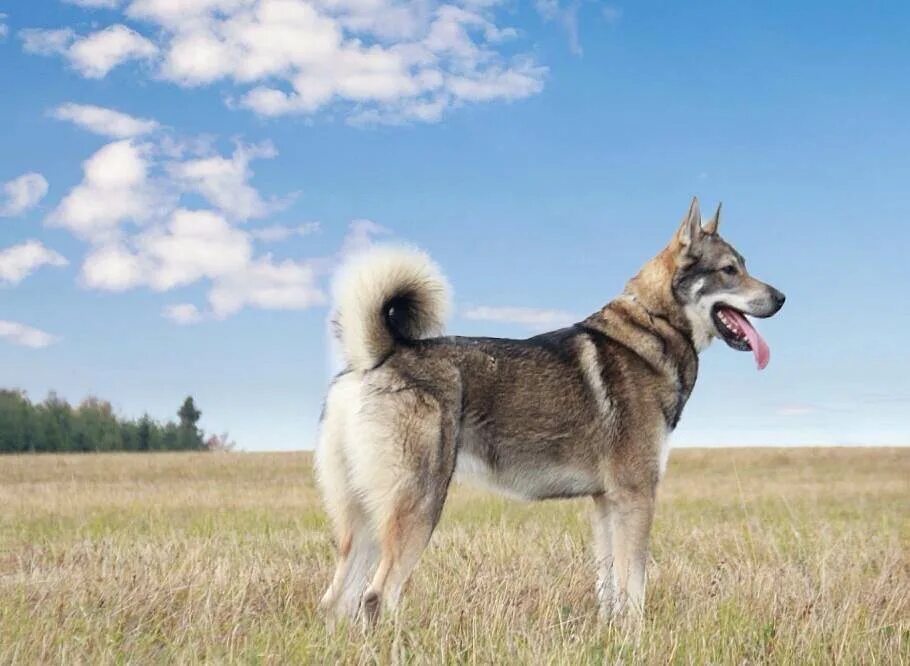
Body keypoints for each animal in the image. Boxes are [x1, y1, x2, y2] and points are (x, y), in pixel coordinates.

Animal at [314, 197, 784, 624]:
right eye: (730, 270)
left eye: (743, 266)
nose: (781, 297)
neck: (655, 323)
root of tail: (378, 356)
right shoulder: (636, 496)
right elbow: (634, 587)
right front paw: (637, 637)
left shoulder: (606, 503)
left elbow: (609, 587)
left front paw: (610, 635)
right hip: (419, 507)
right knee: (377, 597)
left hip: (365, 524)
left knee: (337, 601)